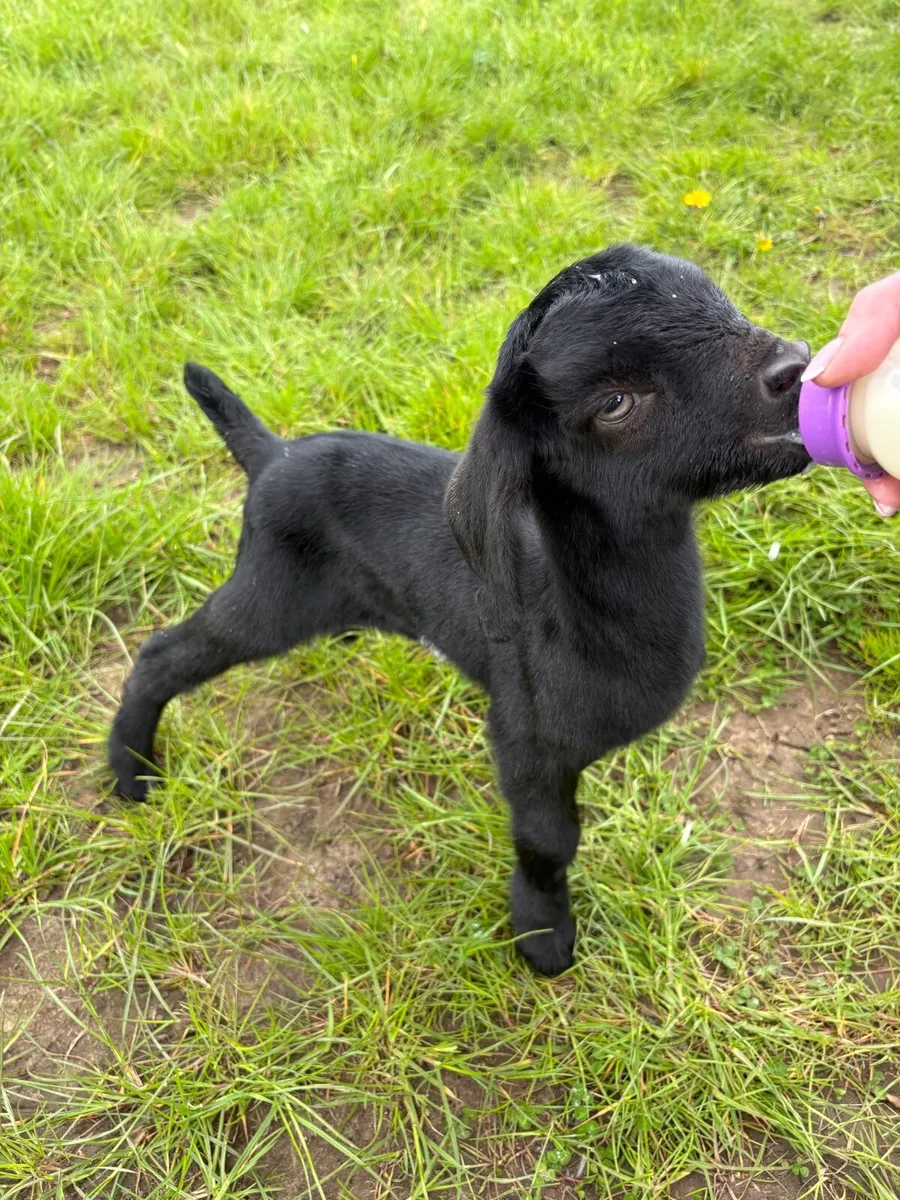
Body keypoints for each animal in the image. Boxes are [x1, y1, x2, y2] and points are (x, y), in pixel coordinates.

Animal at [109, 244, 810, 975]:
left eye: (718, 300)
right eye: (615, 402)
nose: (795, 365)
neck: (576, 616)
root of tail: (273, 457)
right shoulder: (524, 739)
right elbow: (550, 839)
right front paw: (541, 933)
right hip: (268, 594)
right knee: (165, 653)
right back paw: (131, 769)